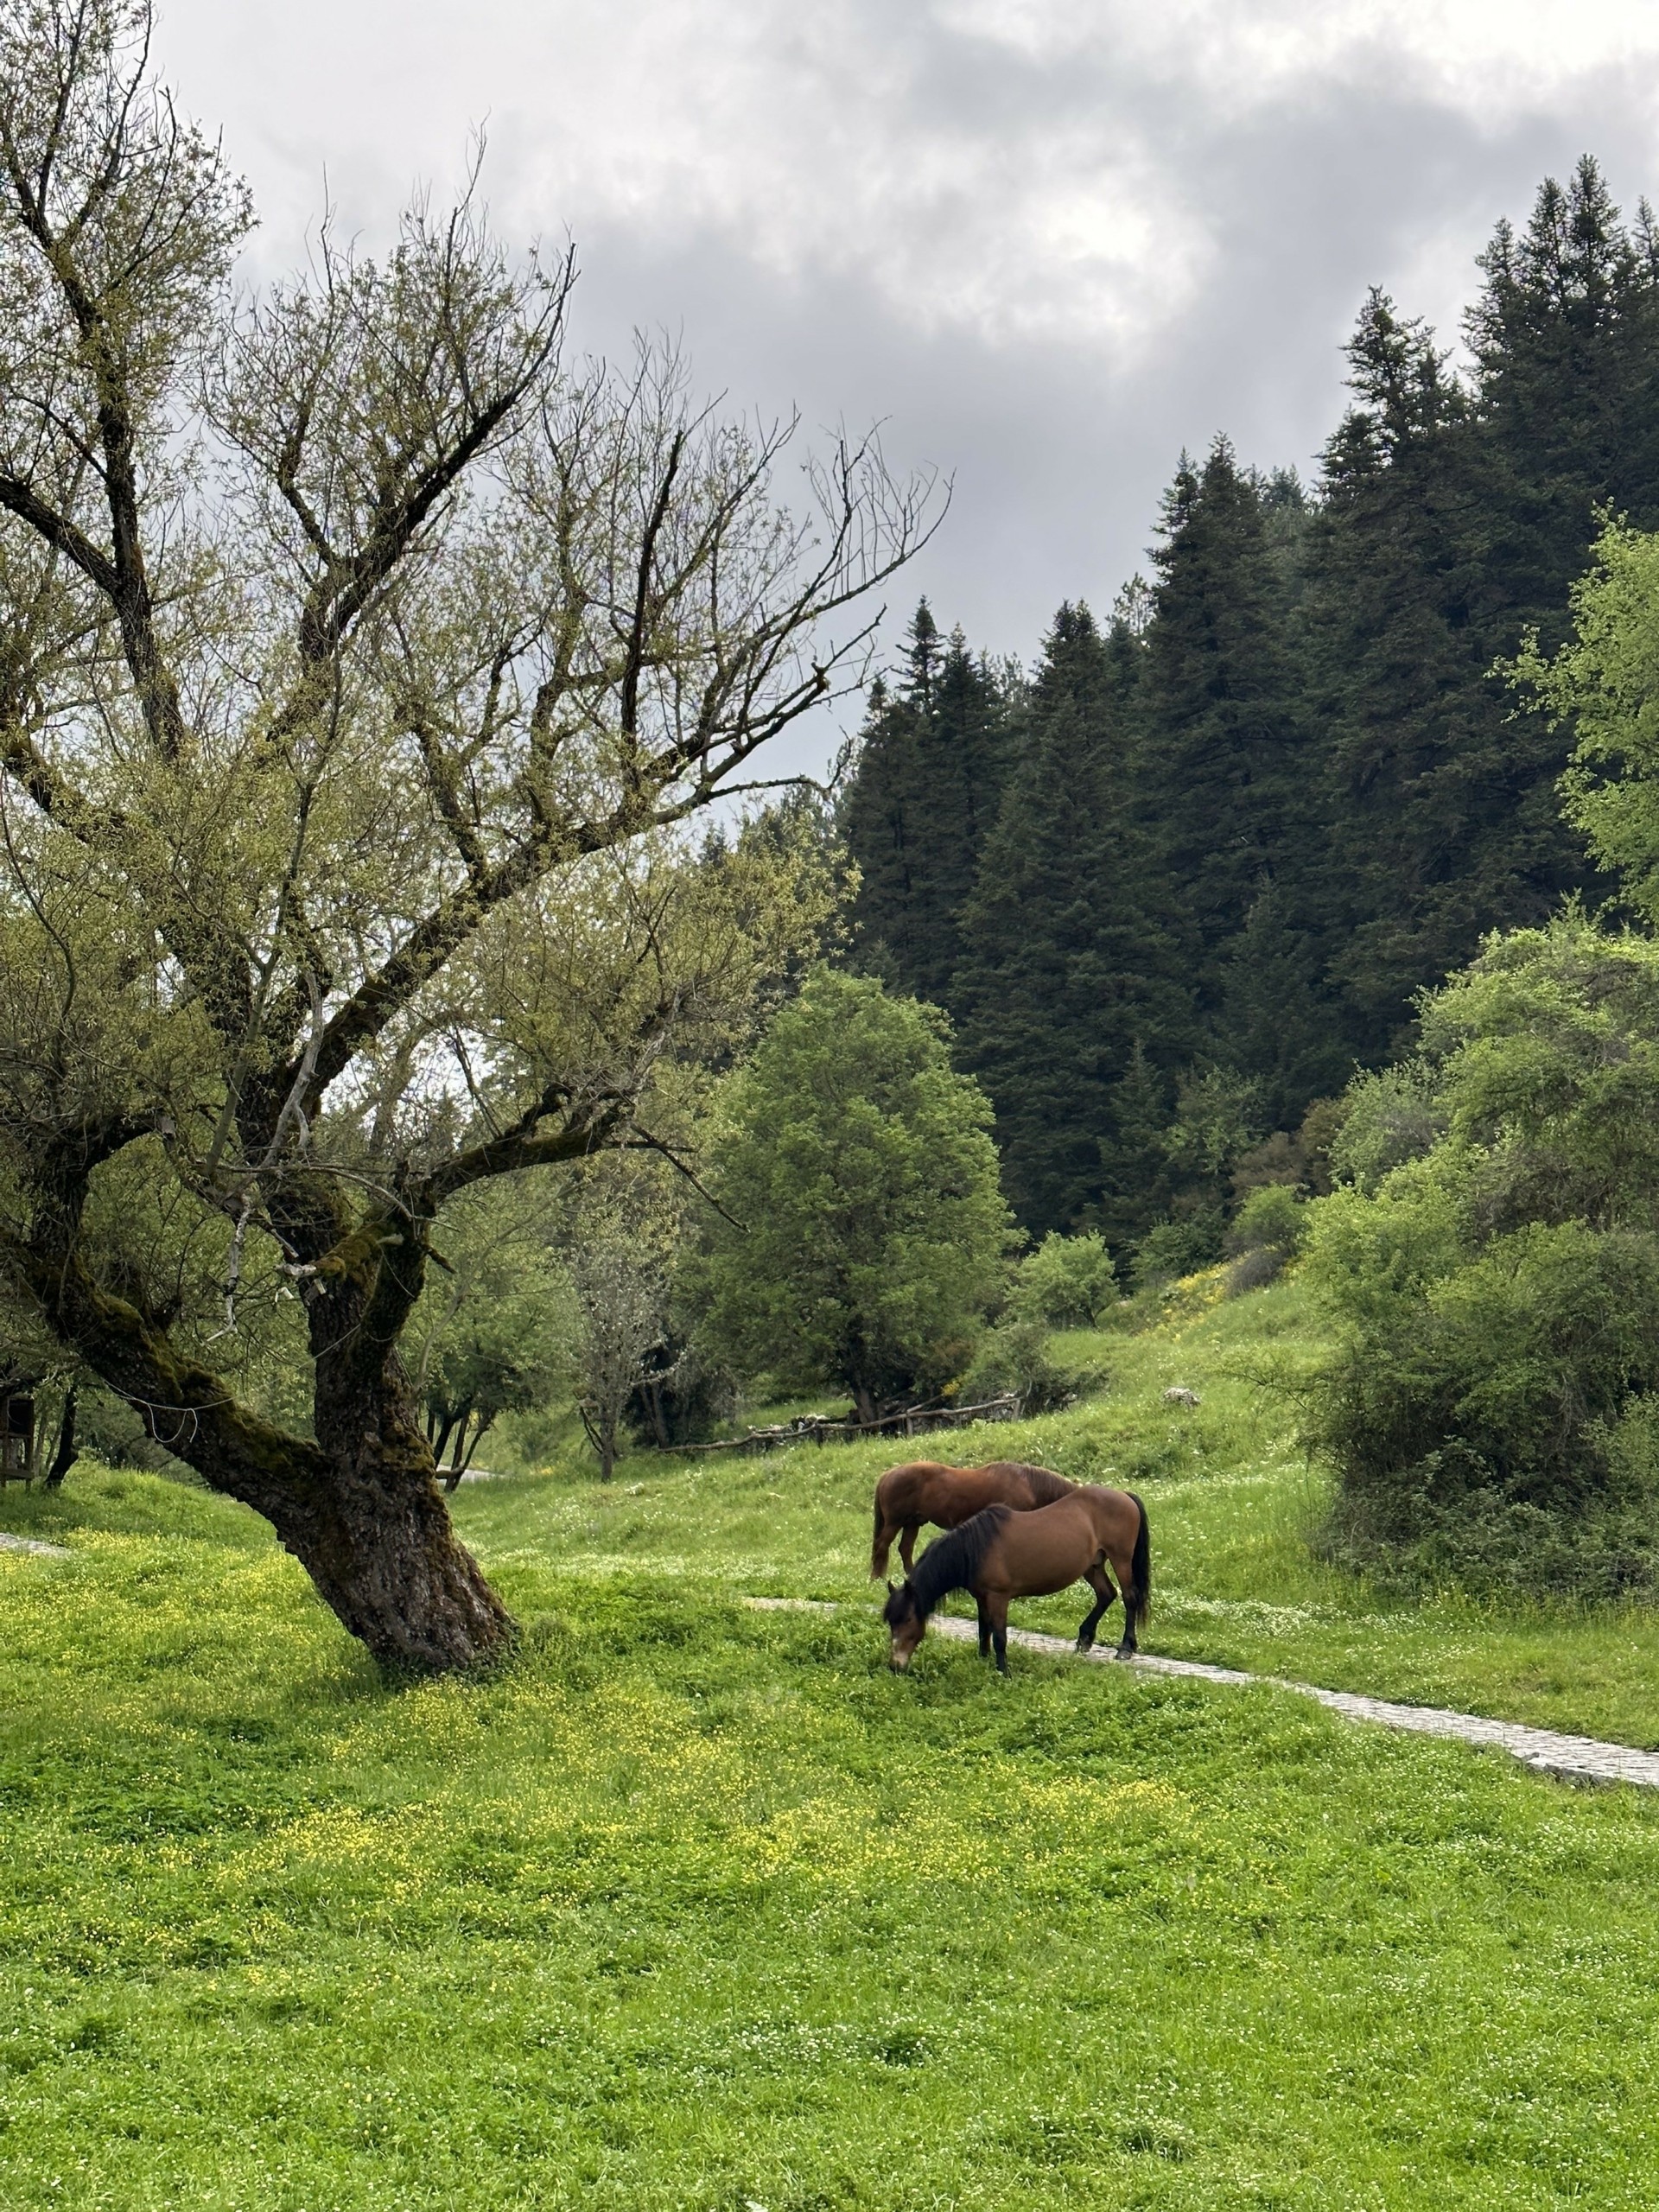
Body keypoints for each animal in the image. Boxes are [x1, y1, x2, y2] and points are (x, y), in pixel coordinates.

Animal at [871, 1459, 1079, 1583]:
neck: (1027, 1485)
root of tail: (887, 1475)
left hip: (912, 1523)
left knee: (905, 1549)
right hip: (895, 1522)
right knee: (882, 1546)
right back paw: (877, 1577)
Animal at [889, 1486, 1150, 1672]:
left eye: (909, 1619)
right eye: (891, 1621)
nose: (894, 1666)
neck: (976, 1548)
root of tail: (1123, 1495)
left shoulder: (998, 1598)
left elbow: (999, 1637)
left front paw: (1004, 1671)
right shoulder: (981, 1598)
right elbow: (983, 1631)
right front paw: (983, 1661)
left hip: (1121, 1559)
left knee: (1129, 1597)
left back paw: (1125, 1648)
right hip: (1093, 1565)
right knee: (1106, 1594)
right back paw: (1084, 1640)